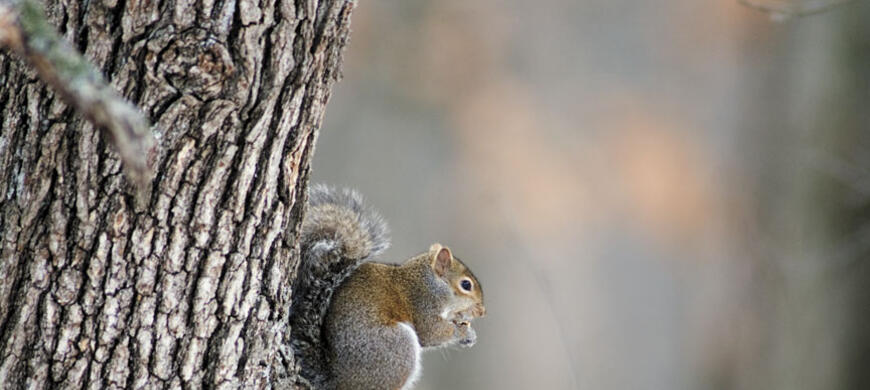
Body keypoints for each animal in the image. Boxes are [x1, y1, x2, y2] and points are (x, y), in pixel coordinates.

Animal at [292, 184, 488, 388]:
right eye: (466, 284)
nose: (482, 311)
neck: (429, 282)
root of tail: (337, 380)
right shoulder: (423, 304)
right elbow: (432, 333)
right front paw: (462, 332)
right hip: (398, 348)